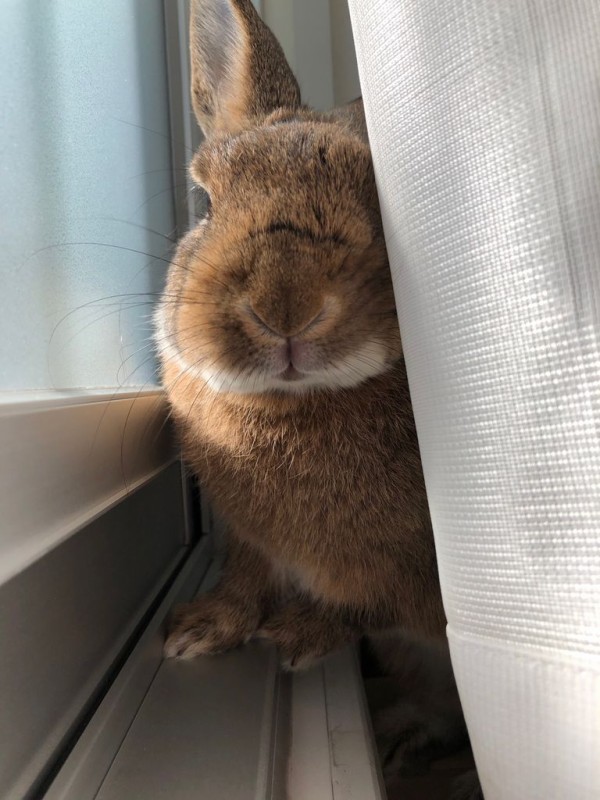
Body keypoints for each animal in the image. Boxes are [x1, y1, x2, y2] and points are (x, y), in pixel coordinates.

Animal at [156, 0, 478, 792]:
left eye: (385, 215)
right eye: (206, 203)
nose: (286, 305)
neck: (288, 404)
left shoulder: (414, 576)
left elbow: (364, 604)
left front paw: (298, 632)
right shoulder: (246, 536)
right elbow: (244, 580)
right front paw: (201, 630)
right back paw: (397, 735)